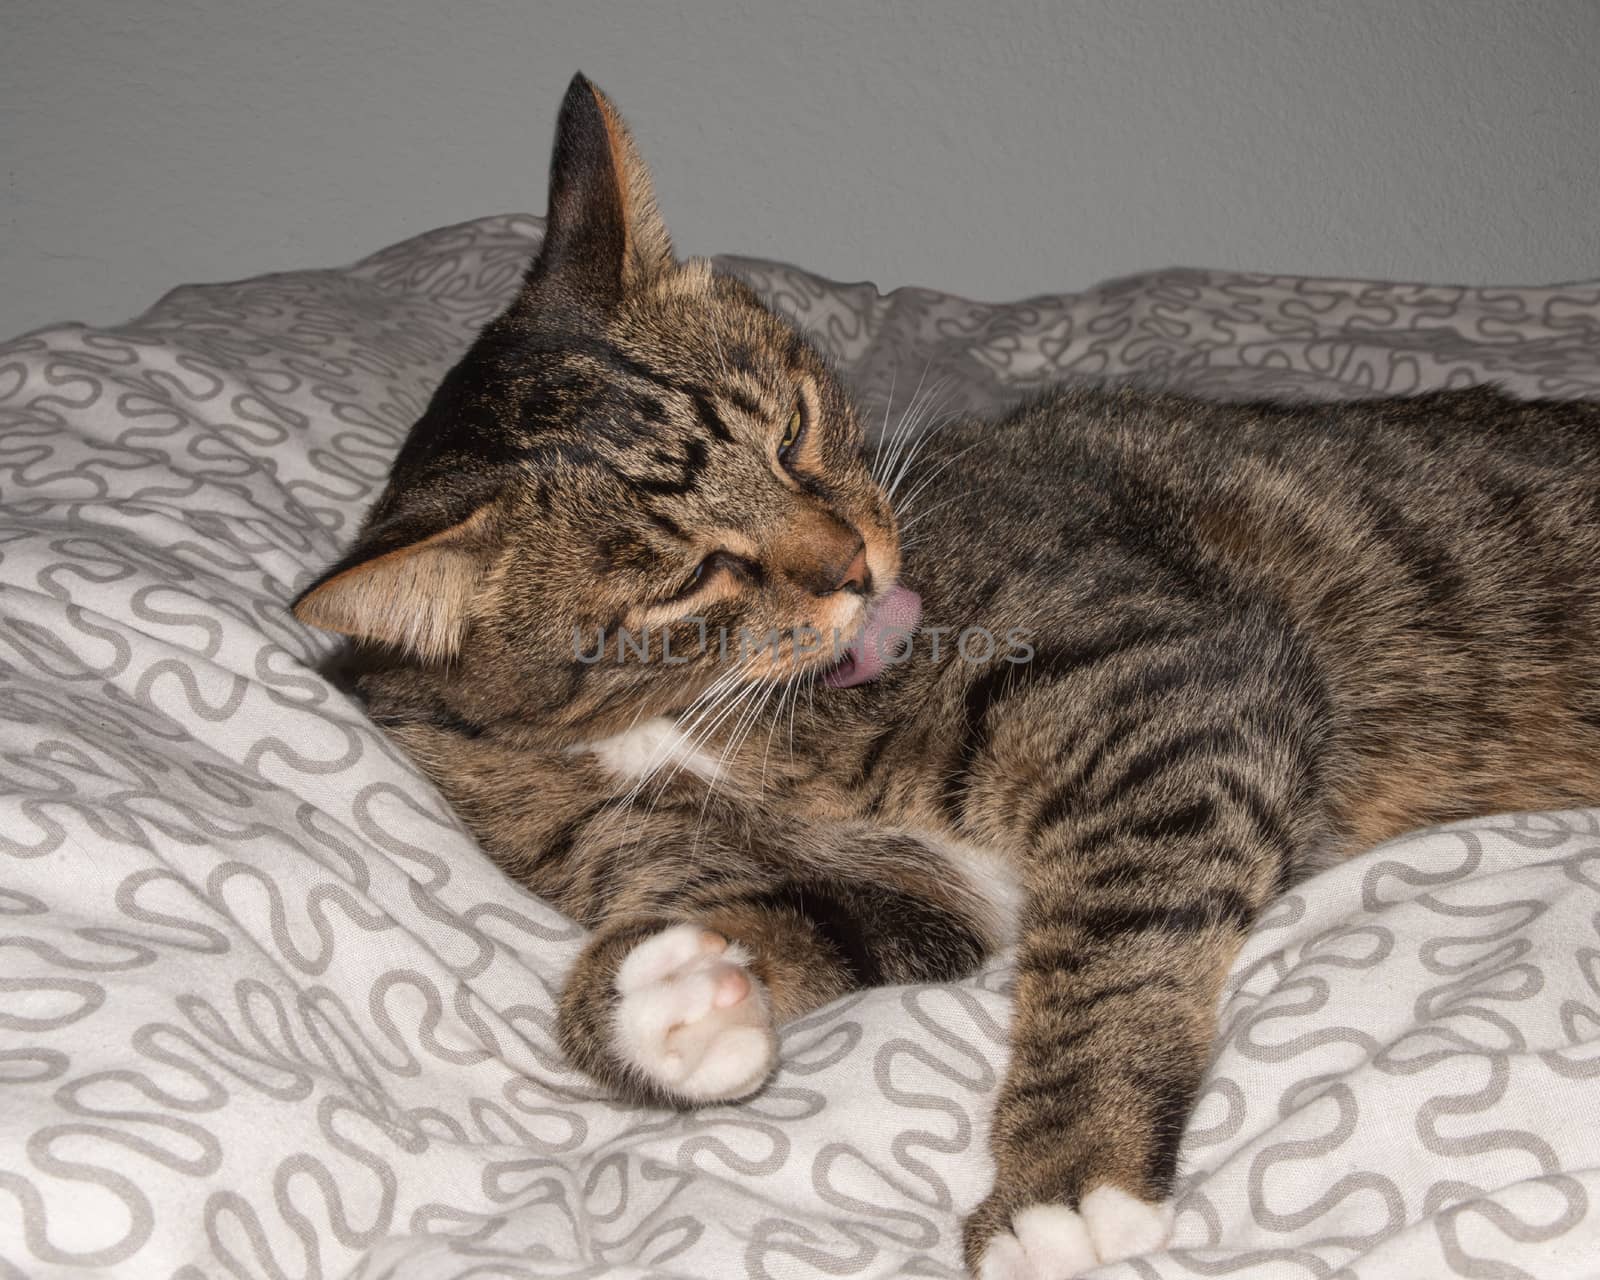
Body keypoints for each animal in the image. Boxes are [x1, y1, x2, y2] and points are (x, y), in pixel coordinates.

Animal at [294, 72, 1600, 1280]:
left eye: (793, 428)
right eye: (692, 576)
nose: (857, 568)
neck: (686, 722)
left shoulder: (1165, 684)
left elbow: (1113, 946)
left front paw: (1063, 1180)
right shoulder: (901, 890)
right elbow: (808, 917)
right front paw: (669, 1000)